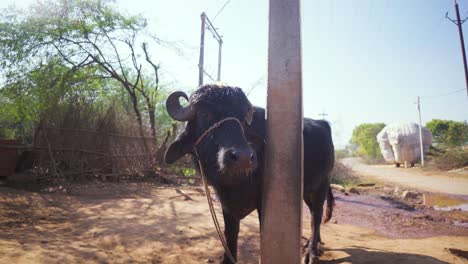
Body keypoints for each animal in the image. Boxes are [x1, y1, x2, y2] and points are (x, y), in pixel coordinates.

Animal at [165, 83, 332, 262]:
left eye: (244, 119)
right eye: (205, 114)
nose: (243, 158)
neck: (236, 183)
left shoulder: (262, 201)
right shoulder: (226, 202)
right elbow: (230, 232)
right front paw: (227, 259)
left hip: (321, 185)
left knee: (316, 215)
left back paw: (311, 252)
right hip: (307, 191)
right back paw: (311, 243)